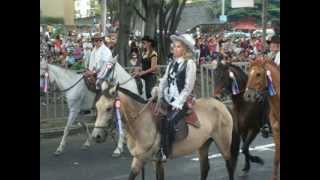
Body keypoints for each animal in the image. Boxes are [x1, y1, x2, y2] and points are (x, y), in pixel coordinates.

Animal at [91, 80, 239, 180]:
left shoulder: (153, 159)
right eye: (97, 107)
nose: (96, 136)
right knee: (205, 168)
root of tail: (222, 105)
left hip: (223, 142)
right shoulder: (142, 159)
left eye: (109, 108)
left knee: (229, 165)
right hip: (203, 144)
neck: (140, 123)